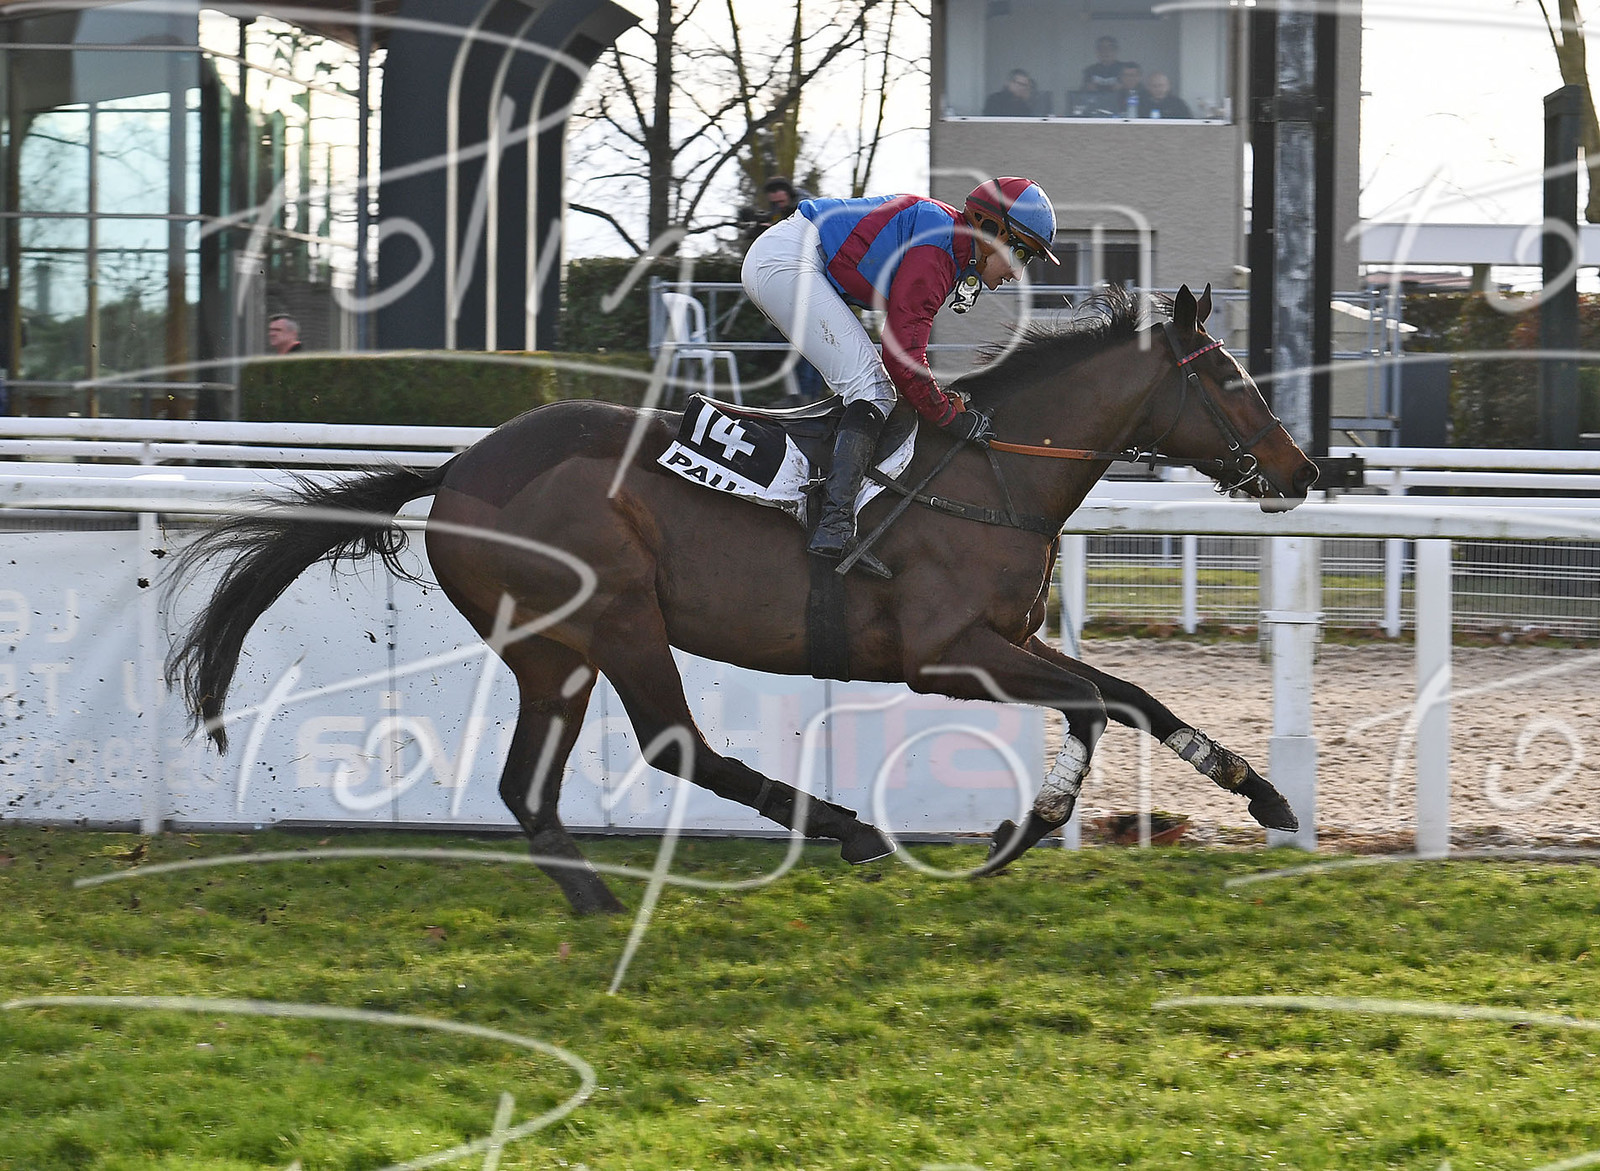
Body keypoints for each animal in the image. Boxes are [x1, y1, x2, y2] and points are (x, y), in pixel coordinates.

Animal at [168, 284, 1319, 914]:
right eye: (1231, 378)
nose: (1303, 468)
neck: (993, 475)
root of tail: (454, 470)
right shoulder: (944, 651)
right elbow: (1114, 696)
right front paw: (1252, 794)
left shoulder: (1007, 639)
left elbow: (1110, 699)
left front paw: (1036, 825)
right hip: (613, 615)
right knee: (672, 742)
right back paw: (844, 829)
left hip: (554, 650)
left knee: (531, 784)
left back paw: (596, 897)